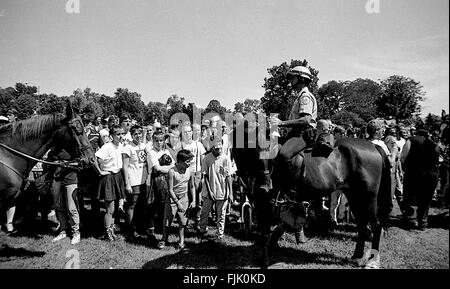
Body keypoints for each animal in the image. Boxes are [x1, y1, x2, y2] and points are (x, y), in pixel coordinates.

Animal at [234, 115, 392, 268]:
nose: (265, 182)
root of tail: (373, 146)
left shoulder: (265, 202)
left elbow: (265, 232)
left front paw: (265, 259)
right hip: (354, 195)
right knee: (362, 223)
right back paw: (356, 256)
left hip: (369, 197)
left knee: (375, 225)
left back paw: (372, 261)